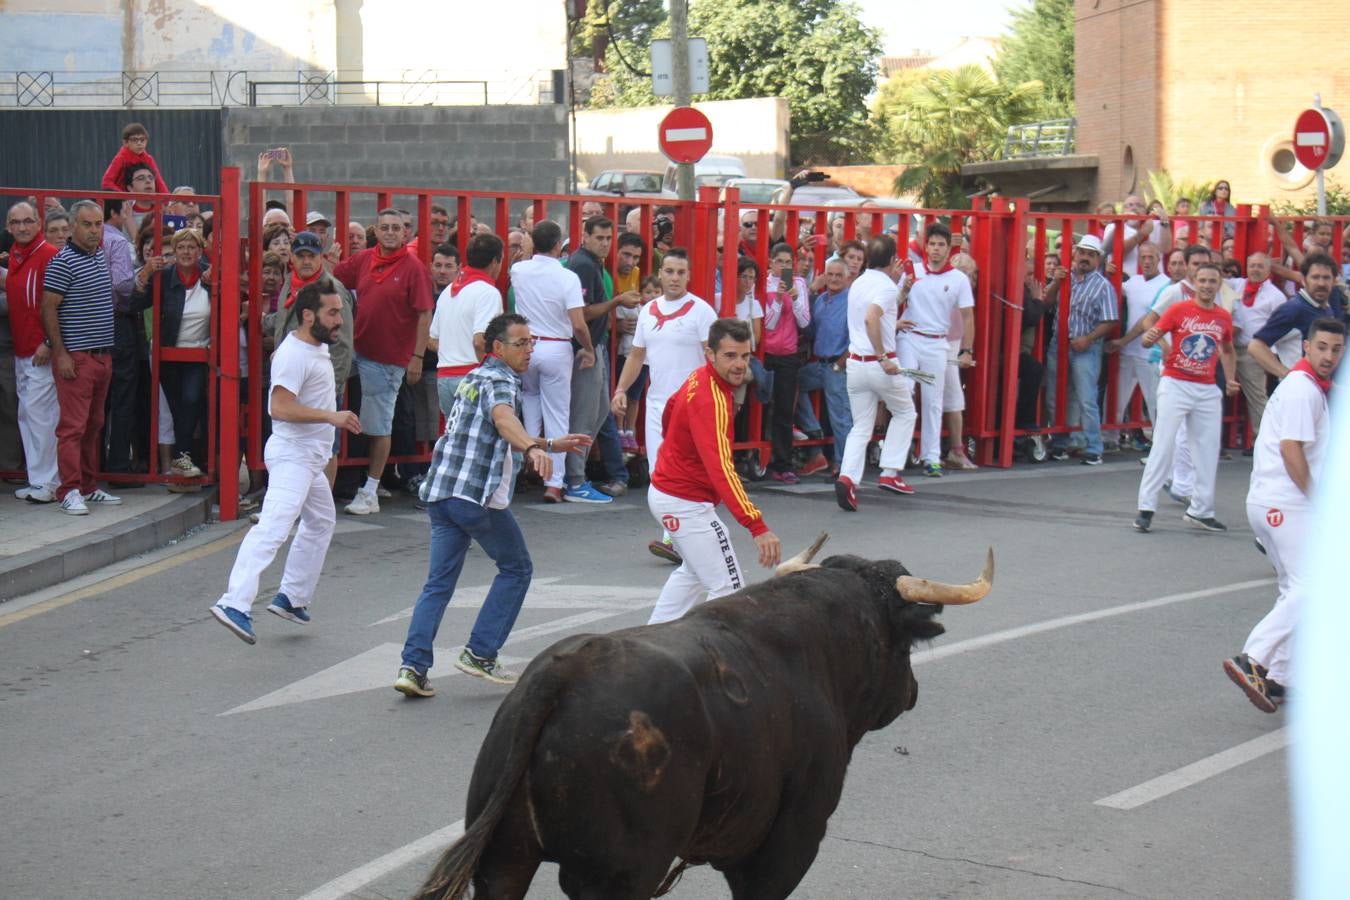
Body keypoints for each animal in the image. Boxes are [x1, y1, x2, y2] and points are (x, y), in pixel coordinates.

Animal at [413, 542, 993, 900]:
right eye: (905, 642)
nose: (912, 692)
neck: (818, 645)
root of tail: (565, 671)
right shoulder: (789, 841)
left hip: (503, 861)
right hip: (615, 878)